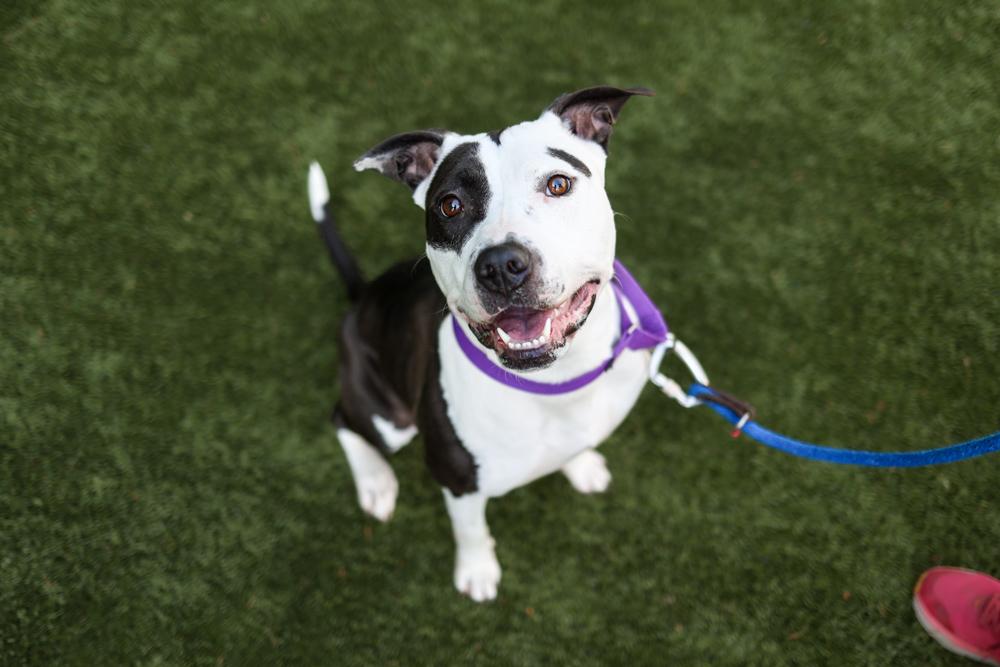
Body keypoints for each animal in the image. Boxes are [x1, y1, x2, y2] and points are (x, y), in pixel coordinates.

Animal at [308, 86, 660, 604]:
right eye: (449, 205)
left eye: (558, 184)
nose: (500, 266)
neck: (556, 382)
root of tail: (364, 295)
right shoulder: (457, 480)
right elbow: (471, 530)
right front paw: (477, 571)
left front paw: (581, 464)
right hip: (389, 417)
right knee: (343, 420)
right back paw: (375, 482)